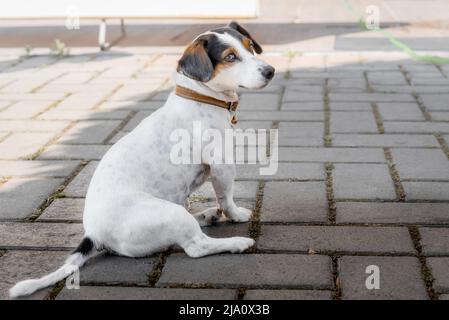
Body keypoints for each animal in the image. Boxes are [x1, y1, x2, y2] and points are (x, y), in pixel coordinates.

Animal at [10, 21, 274, 298]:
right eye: (230, 57)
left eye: (250, 47)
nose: (271, 71)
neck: (200, 97)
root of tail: (93, 233)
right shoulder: (221, 165)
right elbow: (227, 197)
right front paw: (236, 215)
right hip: (171, 214)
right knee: (196, 246)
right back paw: (237, 242)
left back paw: (208, 216)